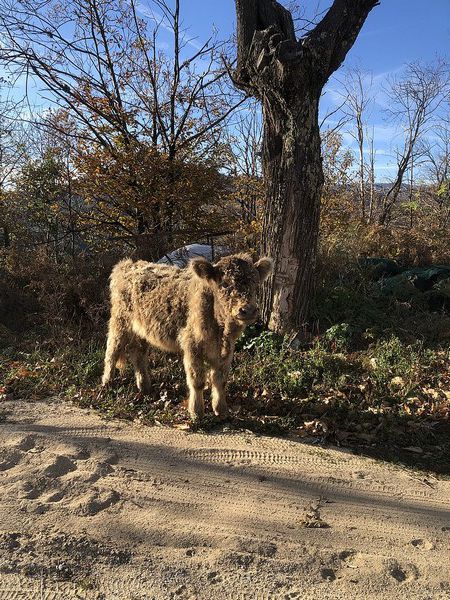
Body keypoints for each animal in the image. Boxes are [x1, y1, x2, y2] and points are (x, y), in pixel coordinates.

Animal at [101, 253, 270, 418]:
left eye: (255, 284)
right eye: (225, 284)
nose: (248, 310)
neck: (221, 330)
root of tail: (128, 264)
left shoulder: (226, 350)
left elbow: (220, 380)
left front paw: (221, 410)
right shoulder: (192, 345)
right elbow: (197, 380)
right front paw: (196, 412)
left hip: (141, 330)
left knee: (138, 354)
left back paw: (145, 387)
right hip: (119, 322)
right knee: (112, 352)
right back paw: (107, 384)